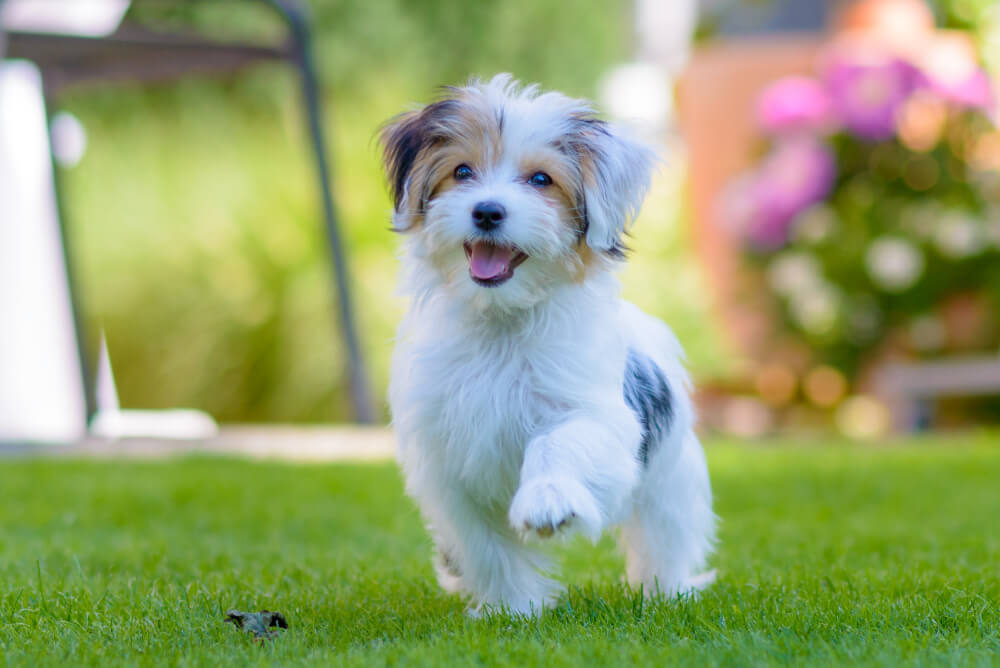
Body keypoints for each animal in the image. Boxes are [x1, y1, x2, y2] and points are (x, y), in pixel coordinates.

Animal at [378, 74, 716, 616]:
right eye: (462, 171)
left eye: (541, 180)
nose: (487, 211)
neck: (502, 320)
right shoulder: (445, 460)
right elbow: (484, 543)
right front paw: (510, 608)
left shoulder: (594, 413)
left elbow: (557, 440)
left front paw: (548, 500)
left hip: (671, 475)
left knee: (665, 533)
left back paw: (665, 592)